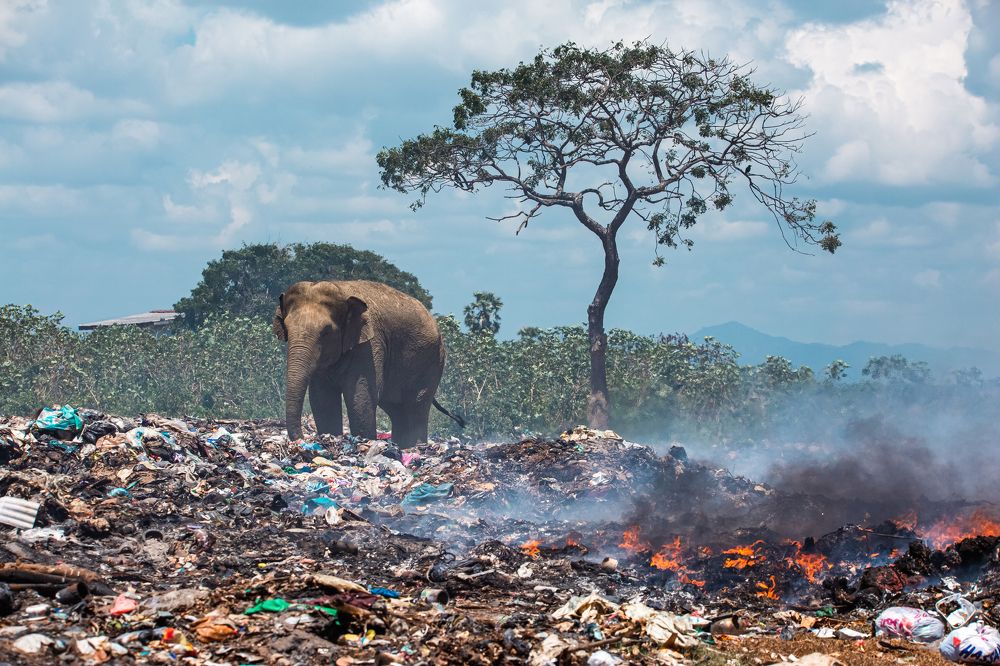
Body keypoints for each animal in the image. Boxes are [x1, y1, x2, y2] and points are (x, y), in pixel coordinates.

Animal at [273, 279, 463, 447]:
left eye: (326, 332)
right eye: (286, 329)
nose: (302, 440)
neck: (340, 288)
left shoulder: (370, 344)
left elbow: (360, 395)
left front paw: (363, 442)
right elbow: (322, 398)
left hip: (431, 360)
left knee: (416, 405)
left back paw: (415, 448)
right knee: (397, 408)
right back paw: (401, 447)